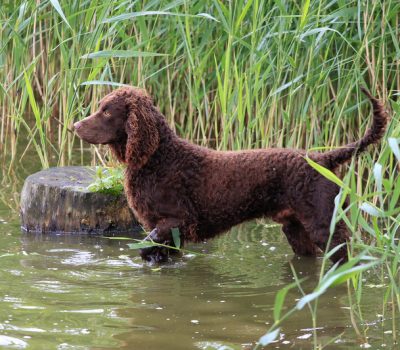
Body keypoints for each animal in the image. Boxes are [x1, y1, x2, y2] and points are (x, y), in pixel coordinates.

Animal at [74, 87, 388, 262]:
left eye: (106, 112)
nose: (75, 125)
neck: (158, 157)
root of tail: (323, 158)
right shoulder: (167, 229)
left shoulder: (178, 221)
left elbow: (145, 246)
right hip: (296, 230)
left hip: (325, 226)